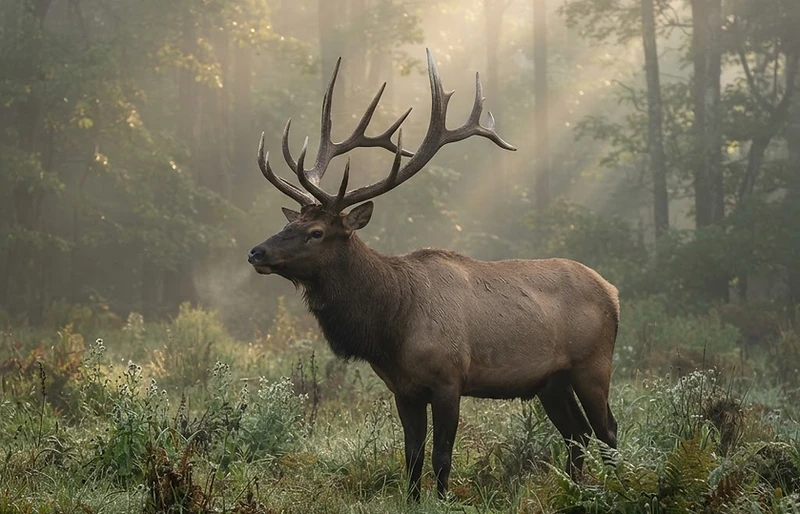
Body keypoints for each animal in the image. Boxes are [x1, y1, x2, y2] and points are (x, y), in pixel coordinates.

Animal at [247, 49, 620, 501]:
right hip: (552, 381)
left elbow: (442, 456)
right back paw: (578, 491)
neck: (391, 325)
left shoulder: (448, 379)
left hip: (593, 364)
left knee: (607, 431)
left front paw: (442, 498)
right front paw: (412, 498)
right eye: (291, 222)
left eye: (316, 232)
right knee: (577, 434)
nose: (256, 251)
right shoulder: (403, 389)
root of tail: (613, 291)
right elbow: (411, 457)